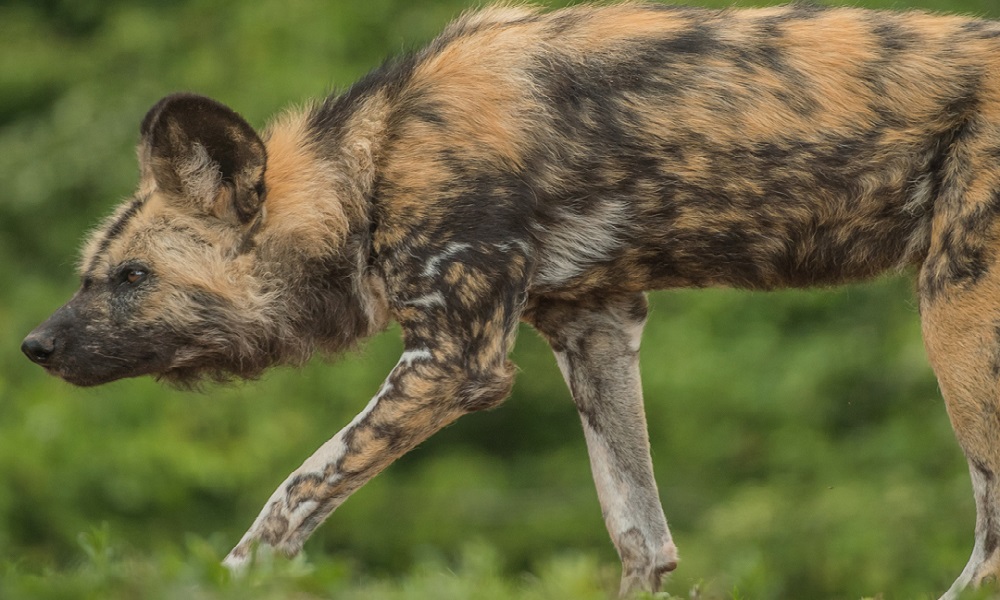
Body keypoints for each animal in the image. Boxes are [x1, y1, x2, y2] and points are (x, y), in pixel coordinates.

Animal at [17, 2, 1000, 596]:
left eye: (133, 278)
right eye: (89, 274)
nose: (34, 347)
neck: (370, 169)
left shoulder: (455, 363)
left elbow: (287, 500)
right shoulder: (595, 329)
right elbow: (641, 537)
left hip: (955, 321)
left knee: (988, 545)